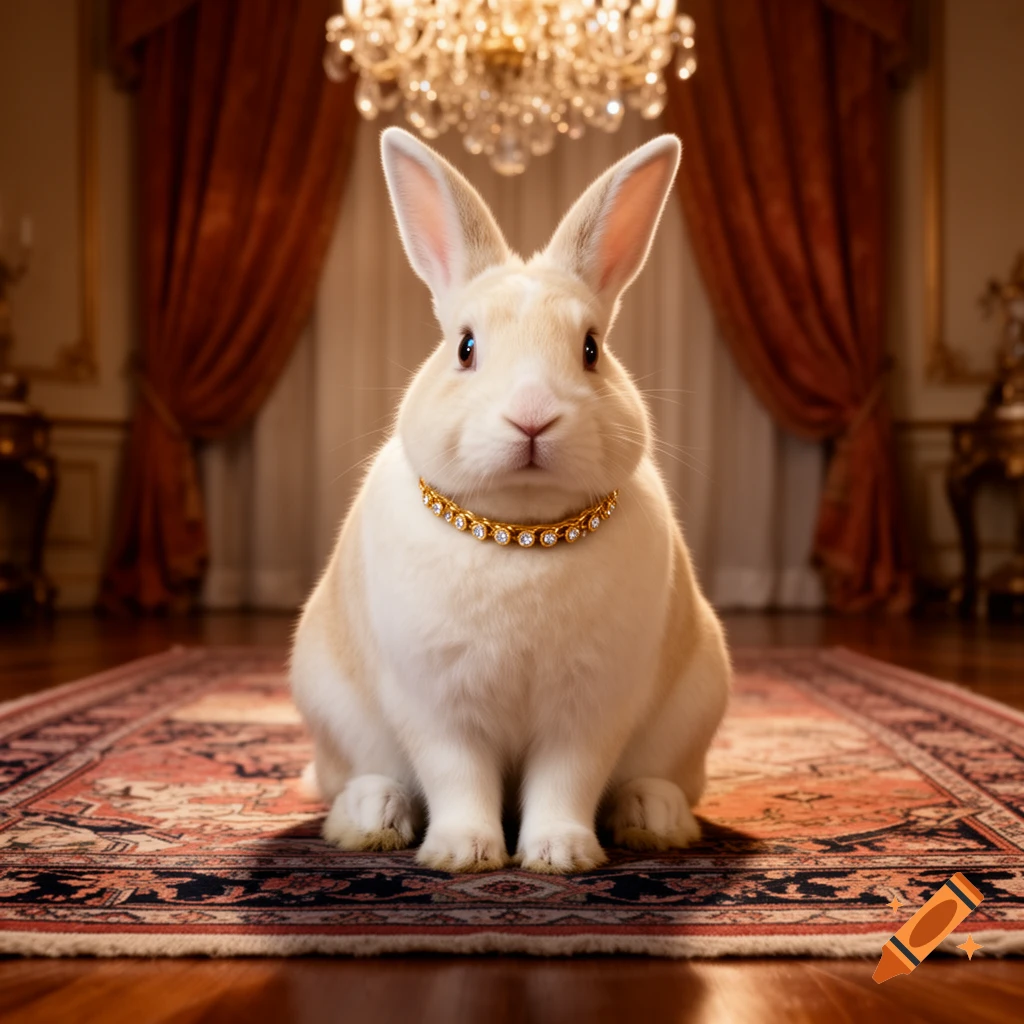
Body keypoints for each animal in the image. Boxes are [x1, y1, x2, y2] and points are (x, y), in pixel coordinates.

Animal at [290, 126, 731, 874]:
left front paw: (559, 854)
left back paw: (654, 817)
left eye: (591, 349)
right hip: (332, 709)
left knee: (659, 779)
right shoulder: (438, 703)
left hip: (693, 709)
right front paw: (464, 854)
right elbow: (458, 776)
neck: (521, 534)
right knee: (353, 775)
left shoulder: (590, 706)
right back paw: (371, 817)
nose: (532, 417)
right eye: (465, 346)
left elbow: (567, 779)